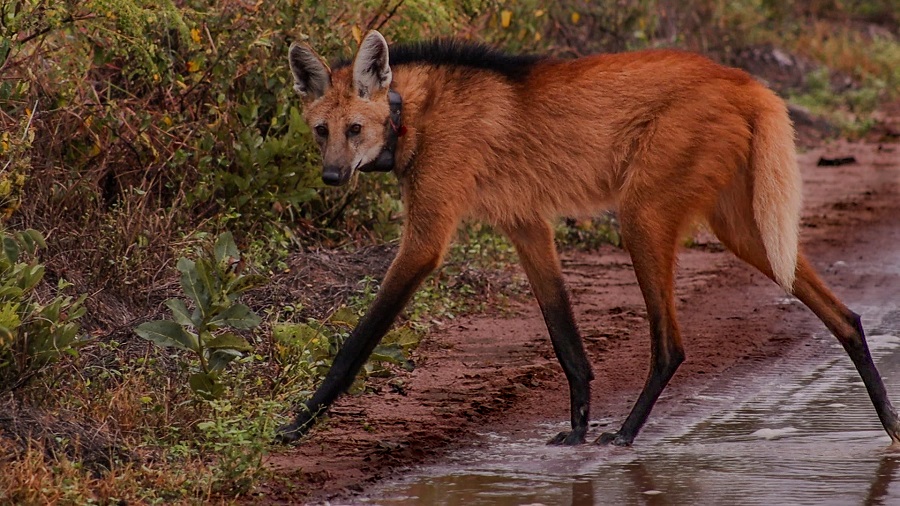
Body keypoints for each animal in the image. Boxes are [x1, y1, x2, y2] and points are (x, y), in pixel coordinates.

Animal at [278, 29, 896, 444]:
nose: (331, 177)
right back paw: (889, 423)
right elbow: (566, 339)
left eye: (355, 129)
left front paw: (296, 424)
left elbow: (356, 344)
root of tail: (742, 80)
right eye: (321, 132)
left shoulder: (428, 240)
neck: (413, 113)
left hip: (641, 216)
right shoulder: (527, 226)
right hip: (744, 232)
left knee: (671, 345)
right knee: (846, 316)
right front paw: (575, 427)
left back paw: (625, 433)